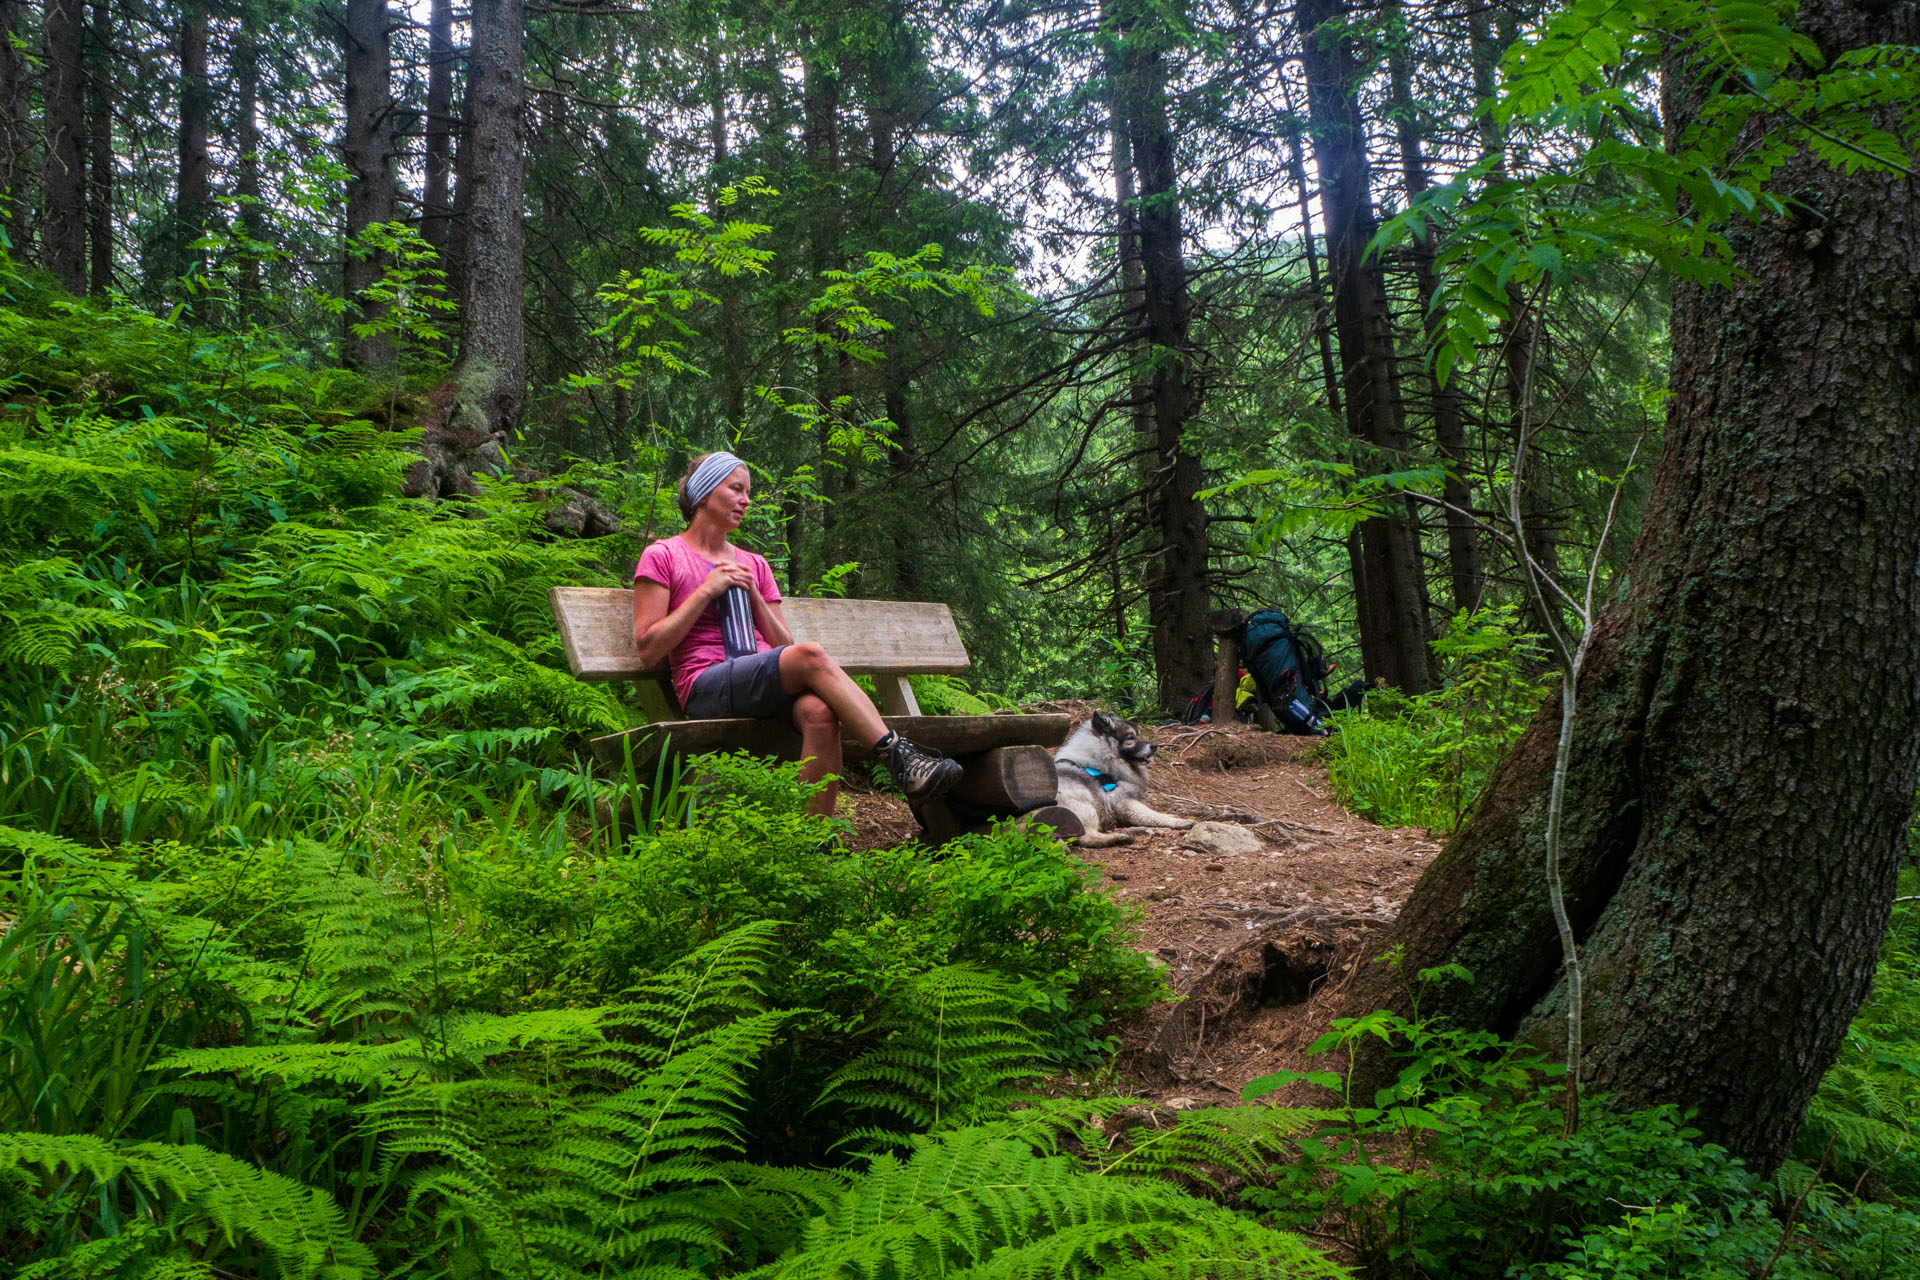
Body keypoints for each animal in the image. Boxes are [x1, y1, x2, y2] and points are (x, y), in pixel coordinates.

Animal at [1059, 717, 1190, 844]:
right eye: (1130, 737)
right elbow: (1154, 815)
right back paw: (1119, 837)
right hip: (1086, 806)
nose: (1155, 746)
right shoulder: (1124, 802)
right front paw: (1179, 821)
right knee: (1087, 838)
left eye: (1138, 735)